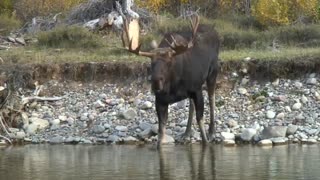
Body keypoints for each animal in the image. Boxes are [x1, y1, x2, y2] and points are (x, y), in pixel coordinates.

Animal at [120, 14, 220, 146]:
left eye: (169, 62)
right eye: (151, 63)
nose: (156, 82)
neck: (173, 86)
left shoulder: (197, 90)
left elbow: (201, 127)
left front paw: (207, 139)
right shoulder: (160, 100)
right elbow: (160, 134)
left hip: (213, 72)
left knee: (212, 98)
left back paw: (212, 132)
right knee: (191, 104)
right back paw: (187, 133)